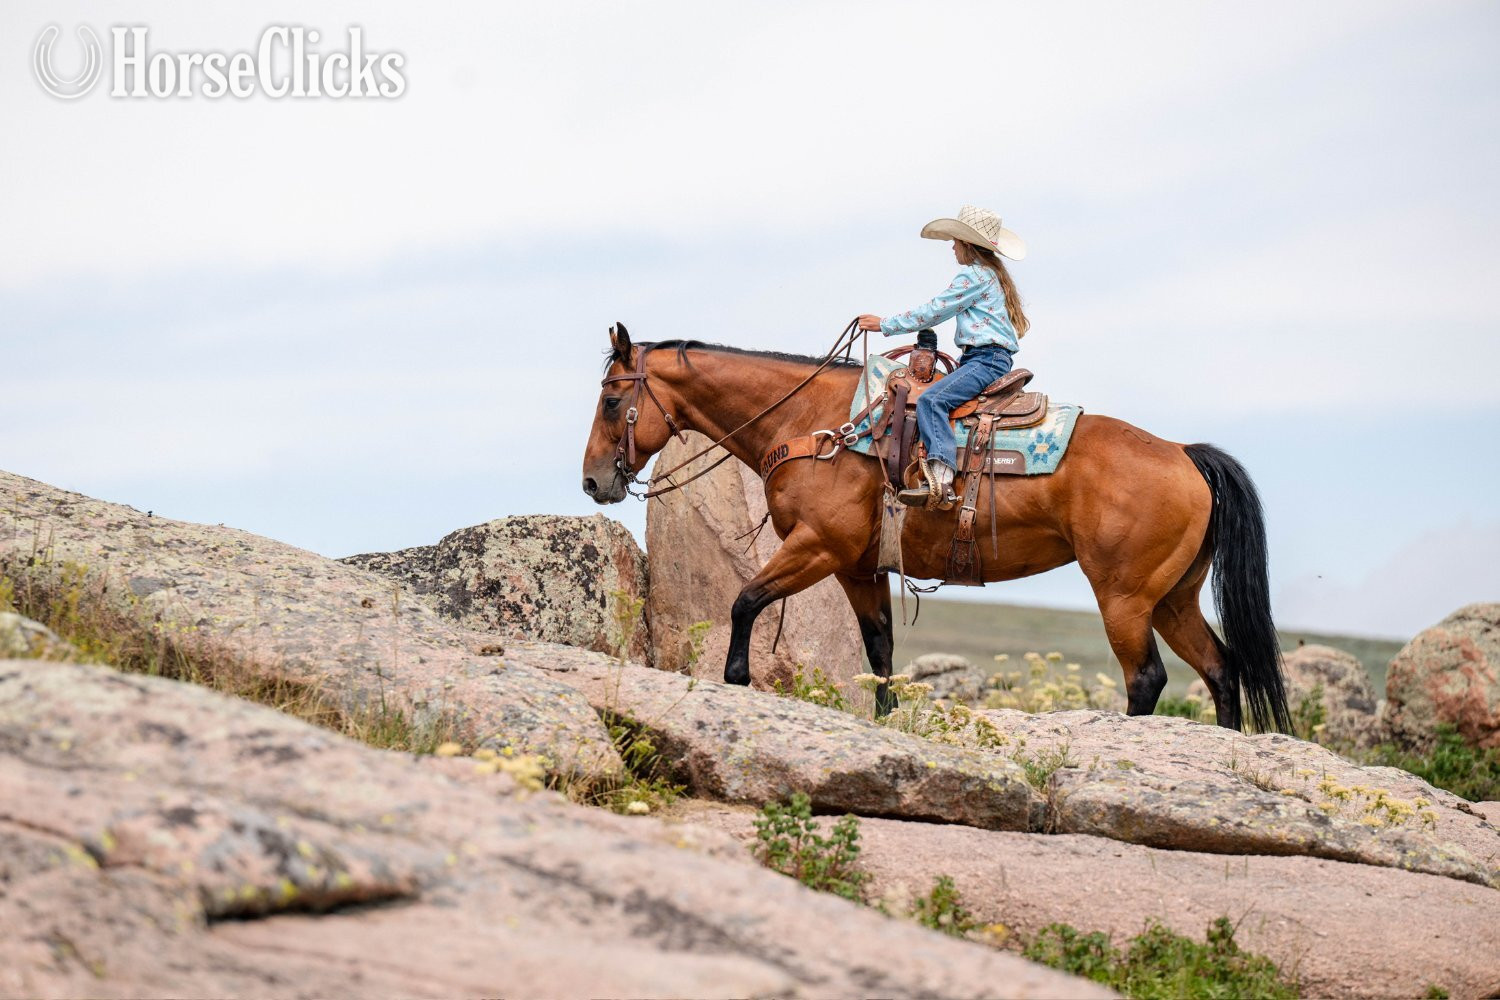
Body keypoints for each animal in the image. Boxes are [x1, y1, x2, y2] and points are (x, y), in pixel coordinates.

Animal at [581, 323, 1290, 733]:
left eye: (612, 400)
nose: (593, 481)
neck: (819, 426)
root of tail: (1183, 453)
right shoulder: (857, 566)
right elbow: (880, 652)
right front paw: (889, 724)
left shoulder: (816, 548)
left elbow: (745, 601)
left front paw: (734, 681)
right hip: (1172, 597)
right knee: (1221, 670)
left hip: (1124, 596)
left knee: (1147, 678)